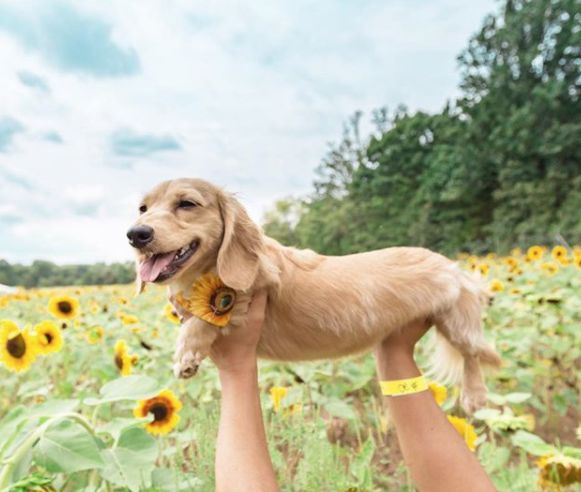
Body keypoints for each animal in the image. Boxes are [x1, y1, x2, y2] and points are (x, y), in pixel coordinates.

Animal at [129, 177, 500, 412]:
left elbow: (203, 321)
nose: (136, 234)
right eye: (143, 208)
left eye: (187, 203)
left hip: (456, 323)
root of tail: (453, 266)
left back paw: (475, 394)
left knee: (472, 355)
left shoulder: (252, 292)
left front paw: (187, 353)